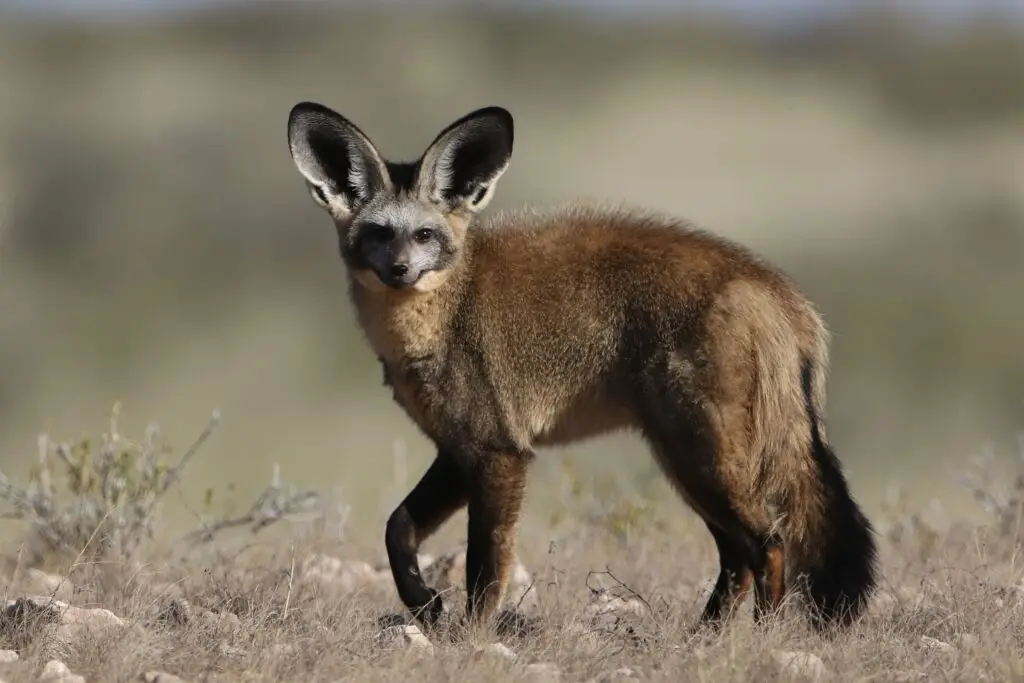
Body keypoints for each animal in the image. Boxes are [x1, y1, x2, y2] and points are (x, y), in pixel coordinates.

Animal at [284, 101, 878, 636]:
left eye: (425, 235)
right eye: (380, 233)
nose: (401, 270)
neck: (446, 316)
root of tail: (779, 292)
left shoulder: (500, 452)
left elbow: (485, 570)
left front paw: (470, 639)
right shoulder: (458, 451)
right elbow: (397, 531)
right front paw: (425, 605)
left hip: (702, 461)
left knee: (769, 545)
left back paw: (759, 638)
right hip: (688, 464)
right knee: (738, 556)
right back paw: (703, 640)